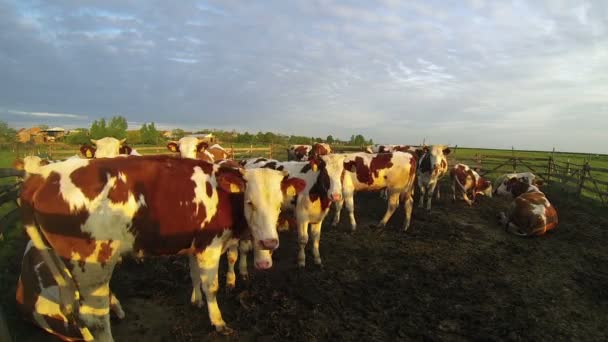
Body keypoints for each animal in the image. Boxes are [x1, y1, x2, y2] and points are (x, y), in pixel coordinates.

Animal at [17, 156, 304, 340]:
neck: (224, 196)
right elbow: (211, 286)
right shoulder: (209, 246)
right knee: (95, 317)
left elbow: (194, 276)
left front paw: (196, 301)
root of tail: (41, 177)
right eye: (250, 202)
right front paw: (217, 320)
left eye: (279, 203)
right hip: (92, 266)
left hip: (60, 265)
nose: (269, 243)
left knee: (72, 309)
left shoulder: (194, 245)